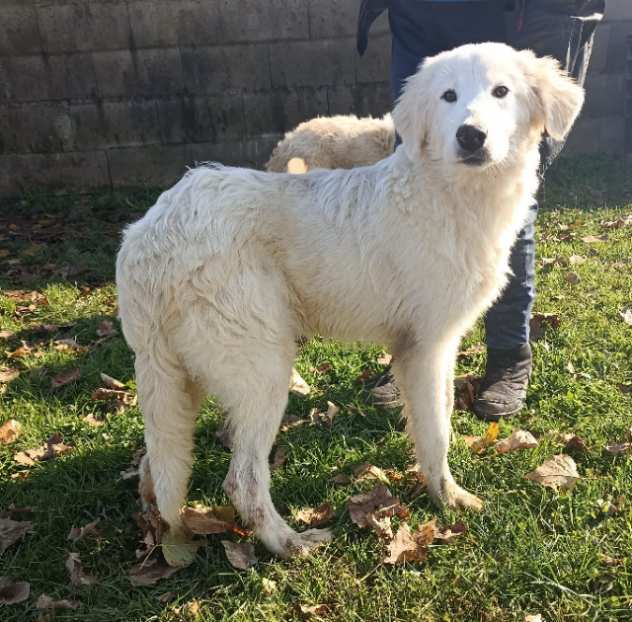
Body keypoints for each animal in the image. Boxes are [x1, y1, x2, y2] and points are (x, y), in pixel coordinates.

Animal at [117, 45, 584, 560]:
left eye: (501, 91)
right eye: (449, 96)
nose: (470, 135)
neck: (450, 195)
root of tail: (148, 236)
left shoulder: (439, 345)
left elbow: (438, 417)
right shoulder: (424, 348)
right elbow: (436, 433)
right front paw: (447, 499)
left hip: (182, 380)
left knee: (156, 466)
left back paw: (167, 532)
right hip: (264, 371)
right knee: (242, 481)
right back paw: (290, 544)